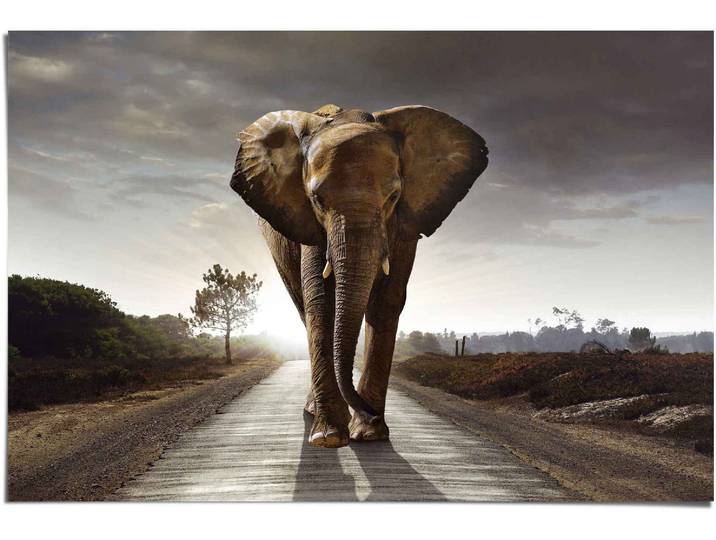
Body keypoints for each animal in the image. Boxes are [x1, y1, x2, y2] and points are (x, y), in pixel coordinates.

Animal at [230, 104, 488, 448]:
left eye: (393, 197)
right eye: (316, 200)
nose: (370, 412)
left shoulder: (404, 224)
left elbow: (387, 300)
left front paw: (369, 434)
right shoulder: (309, 225)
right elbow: (321, 301)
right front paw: (329, 437)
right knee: (303, 307)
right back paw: (315, 413)